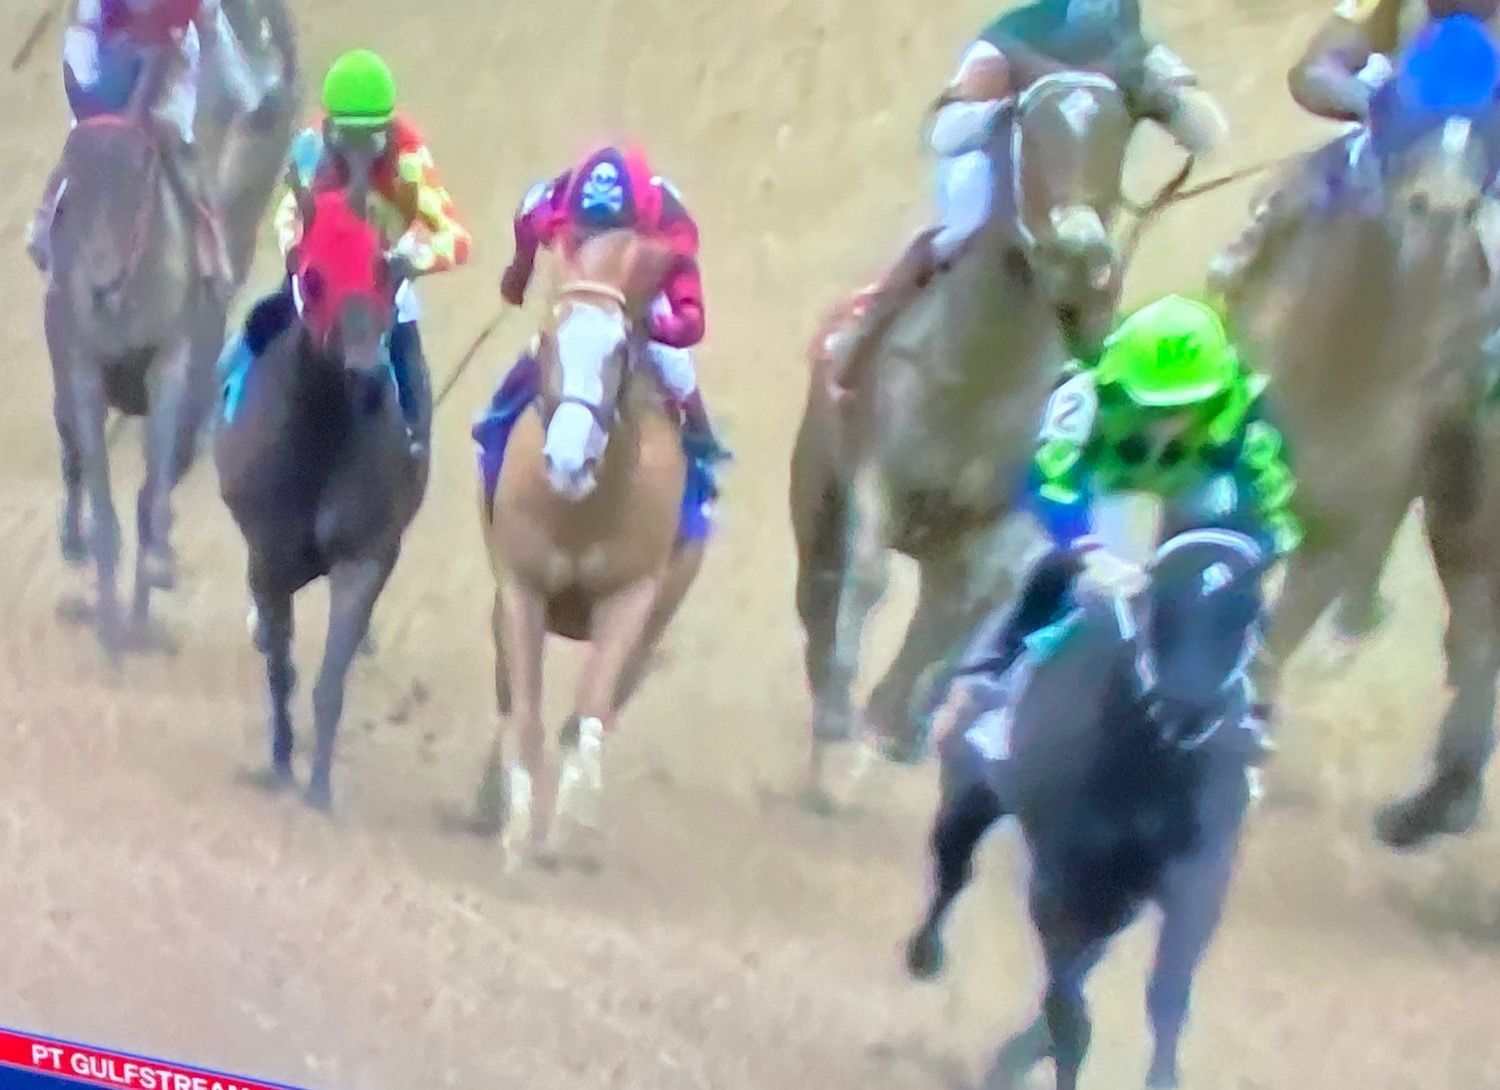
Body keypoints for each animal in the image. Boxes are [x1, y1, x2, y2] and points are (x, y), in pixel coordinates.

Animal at [44, 105, 229, 659]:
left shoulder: (171, 361)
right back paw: (77, 546)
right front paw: (109, 623)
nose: (98, 285)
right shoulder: (82, 368)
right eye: (74, 182)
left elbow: (156, 482)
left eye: (140, 186)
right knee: (73, 461)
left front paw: (155, 568)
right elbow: (100, 493)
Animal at [212, 185, 430, 810]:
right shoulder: (270, 554)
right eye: (312, 276)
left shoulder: (366, 554)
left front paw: (319, 789)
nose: (367, 373)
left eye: (382, 268)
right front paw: (282, 763)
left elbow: (331, 677)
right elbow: (280, 667)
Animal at [470, 229, 706, 862]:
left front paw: (564, 833)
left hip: (656, 622)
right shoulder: (520, 588)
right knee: (508, 694)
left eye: (620, 351)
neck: (579, 515)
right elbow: (524, 708)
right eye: (550, 337)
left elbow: (590, 716)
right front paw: (515, 832)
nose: (569, 461)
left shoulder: (631, 598)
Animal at [791, 69, 1137, 805]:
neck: (981, 372)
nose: (1079, 254)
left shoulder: (1003, 520)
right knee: (820, 596)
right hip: (816, 503)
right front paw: (839, 722)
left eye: (1119, 135)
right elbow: (868, 580)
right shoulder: (875, 474)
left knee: (951, 617)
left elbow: (961, 615)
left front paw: (889, 725)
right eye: (1033, 131)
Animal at [905, 529, 1267, 1090]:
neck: (1150, 769)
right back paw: (925, 954)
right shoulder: (1060, 886)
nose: (1187, 710)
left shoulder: (1195, 883)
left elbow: (1167, 995)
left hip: (1116, 899)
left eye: (1245, 611)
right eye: (1164, 604)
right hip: (971, 793)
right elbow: (1070, 1014)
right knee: (953, 865)